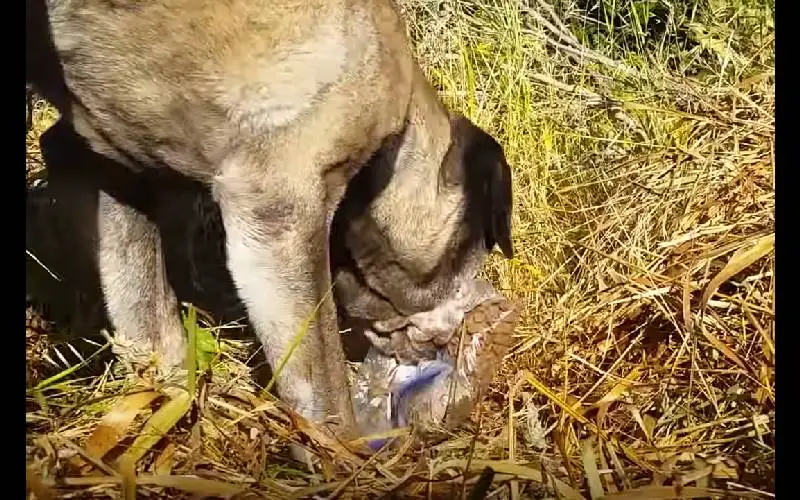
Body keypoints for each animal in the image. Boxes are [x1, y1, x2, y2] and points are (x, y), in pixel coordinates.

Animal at [26, 0, 512, 438]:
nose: (470, 324)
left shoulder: (117, 167)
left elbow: (144, 310)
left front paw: (164, 408)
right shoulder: (282, 219)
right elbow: (322, 384)